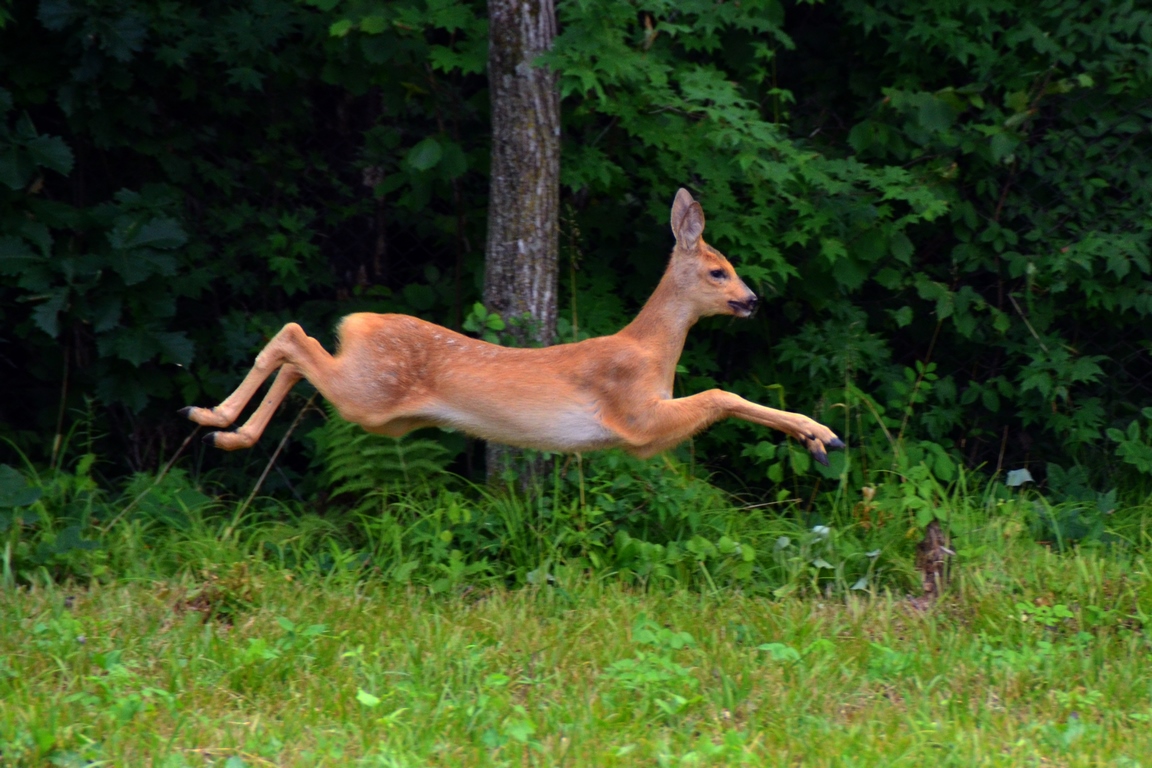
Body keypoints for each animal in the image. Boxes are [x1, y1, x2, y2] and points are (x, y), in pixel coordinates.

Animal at [182, 192, 847, 469]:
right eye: (718, 270)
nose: (752, 300)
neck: (649, 352)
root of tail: (360, 320)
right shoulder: (634, 418)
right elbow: (720, 395)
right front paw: (822, 434)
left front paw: (818, 438)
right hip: (369, 393)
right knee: (294, 335)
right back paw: (212, 416)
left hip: (377, 406)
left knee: (299, 351)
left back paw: (226, 433)